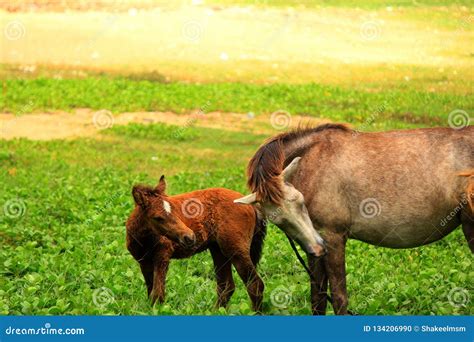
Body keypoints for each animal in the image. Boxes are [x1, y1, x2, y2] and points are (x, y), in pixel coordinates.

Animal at [235, 123, 472, 316]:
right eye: (278, 219)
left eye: (300, 201)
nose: (318, 247)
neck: (313, 160)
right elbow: (318, 299)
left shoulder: (332, 237)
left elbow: (340, 298)